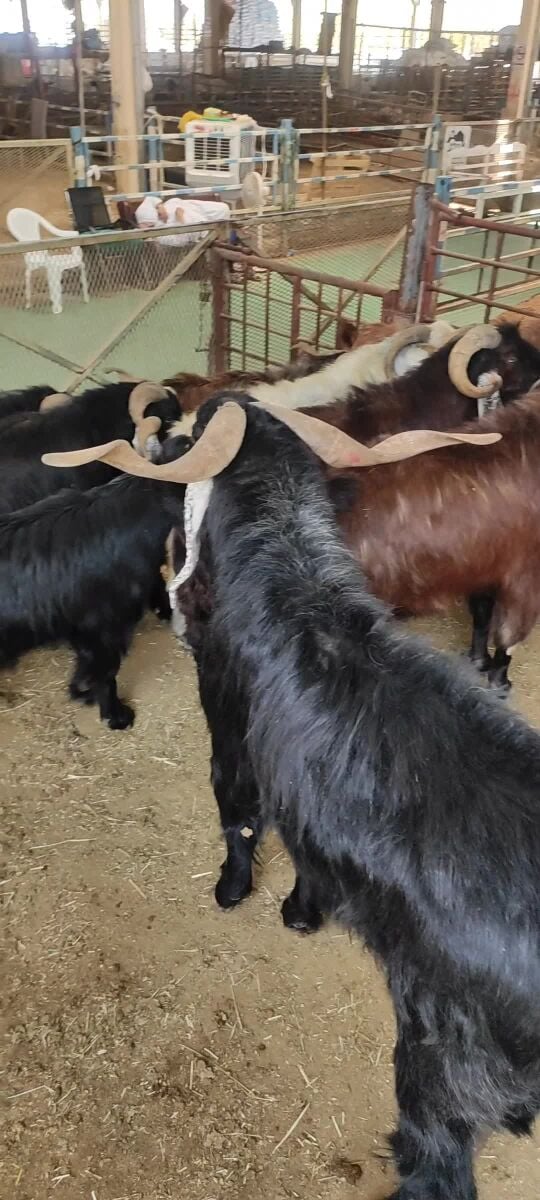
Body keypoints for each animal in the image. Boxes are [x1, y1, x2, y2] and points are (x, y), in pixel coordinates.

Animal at [67, 395, 540, 1200]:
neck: (297, 584)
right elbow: (305, 846)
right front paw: (301, 911)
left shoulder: (227, 719)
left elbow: (238, 811)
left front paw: (232, 892)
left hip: (444, 1062)